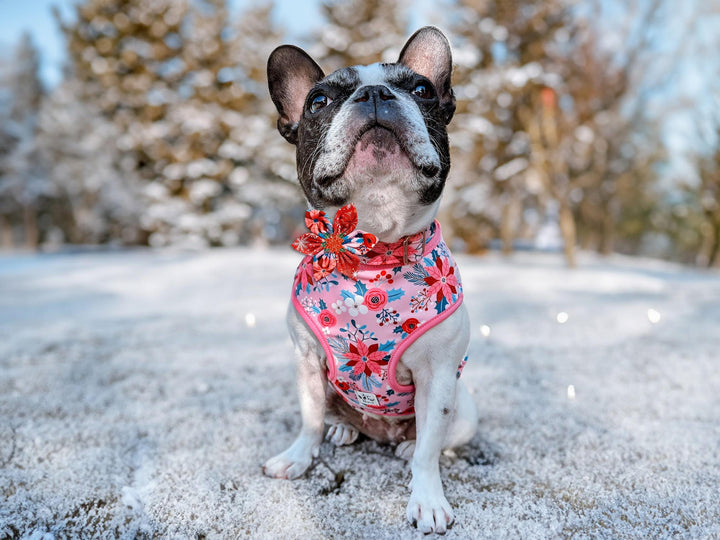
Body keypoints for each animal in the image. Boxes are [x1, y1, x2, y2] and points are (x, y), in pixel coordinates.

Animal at [264, 27, 478, 532]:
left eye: (421, 89)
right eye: (318, 101)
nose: (376, 93)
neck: (370, 255)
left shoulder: (439, 376)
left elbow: (428, 453)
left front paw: (428, 500)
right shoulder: (306, 362)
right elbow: (308, 419)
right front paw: (298, 457)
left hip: (465, 408)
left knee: (436, 438)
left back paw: (405, 443)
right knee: (330, 413)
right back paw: (343, 427)